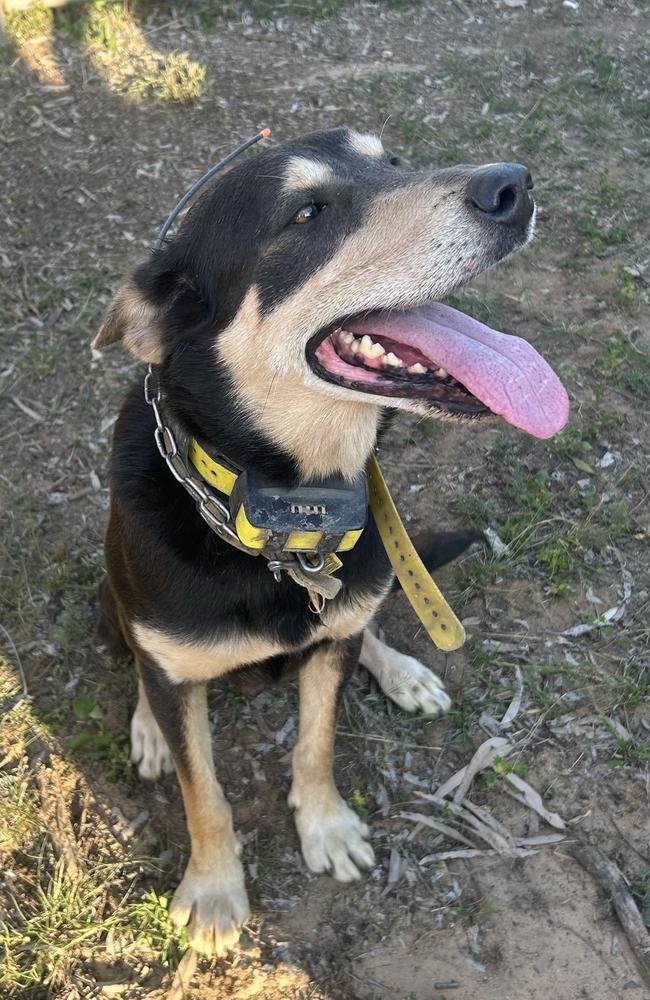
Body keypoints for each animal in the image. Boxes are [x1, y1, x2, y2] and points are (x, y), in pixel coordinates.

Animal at [92, 129, 568, 956]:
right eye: (306, 213)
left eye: (393, 161)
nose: (515, 185)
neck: (285, 517)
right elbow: (201, 787)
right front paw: (213, 888)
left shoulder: (331, 637)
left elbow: (316, 742)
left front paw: (326, 827)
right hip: (113, 591)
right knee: (144, 665)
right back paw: (149, 726)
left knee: (364, 618)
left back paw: (400, 667)